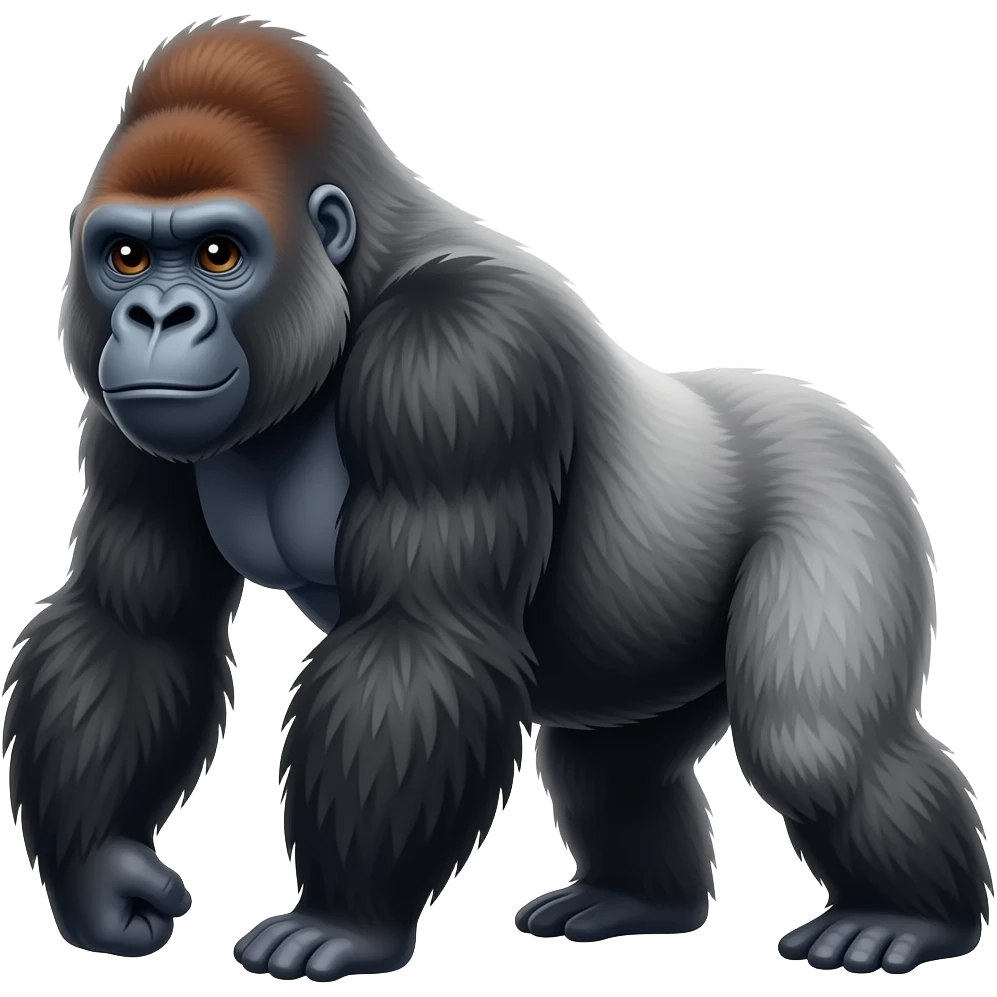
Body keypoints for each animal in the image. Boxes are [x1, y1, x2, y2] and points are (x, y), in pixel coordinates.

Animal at [3, 14, 991, 983]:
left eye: (218, 252)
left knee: (815, 742)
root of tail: (824, 405)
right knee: (611, 768)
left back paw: (908, 917)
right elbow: (134, 622)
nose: (156, 319)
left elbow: (418, 637)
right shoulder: (123, 418)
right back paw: (637, 899)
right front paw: (100, 873)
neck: (356, 277)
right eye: (125, 255)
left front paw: (345, 919)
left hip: (845, 487)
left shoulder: (459, 352)